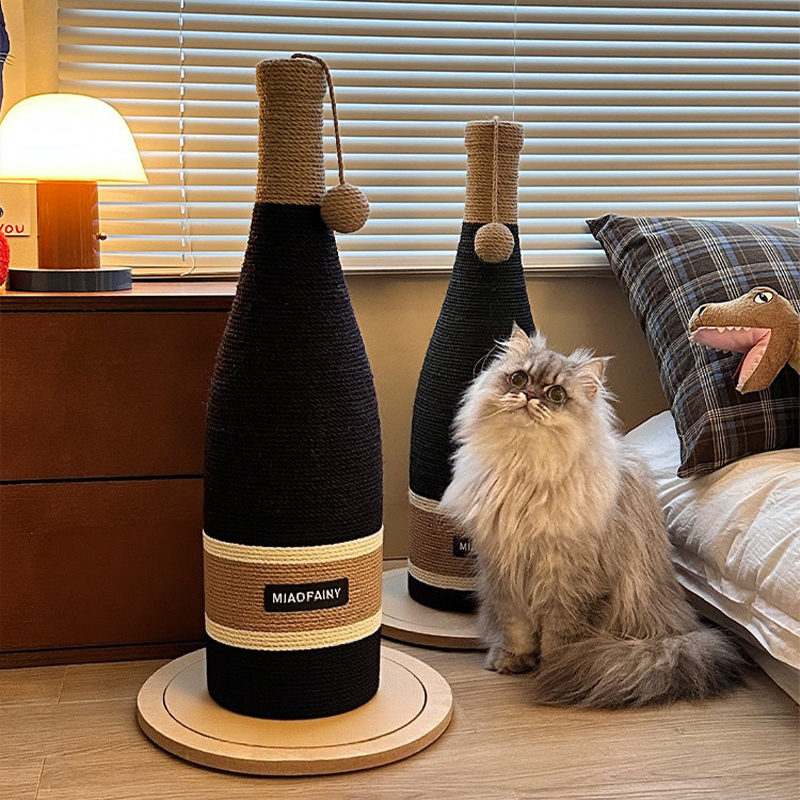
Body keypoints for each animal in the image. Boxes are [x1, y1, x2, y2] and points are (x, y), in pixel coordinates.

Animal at [439, 324, 745, 708]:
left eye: (556, 394)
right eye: (519, 378)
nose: (529, 395)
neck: (526, 470)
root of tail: (679, 631)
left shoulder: (568, 581)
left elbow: (559, 638)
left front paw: (558, 668)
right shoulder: (504, 573)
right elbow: (517, 631)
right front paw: (513, 661)